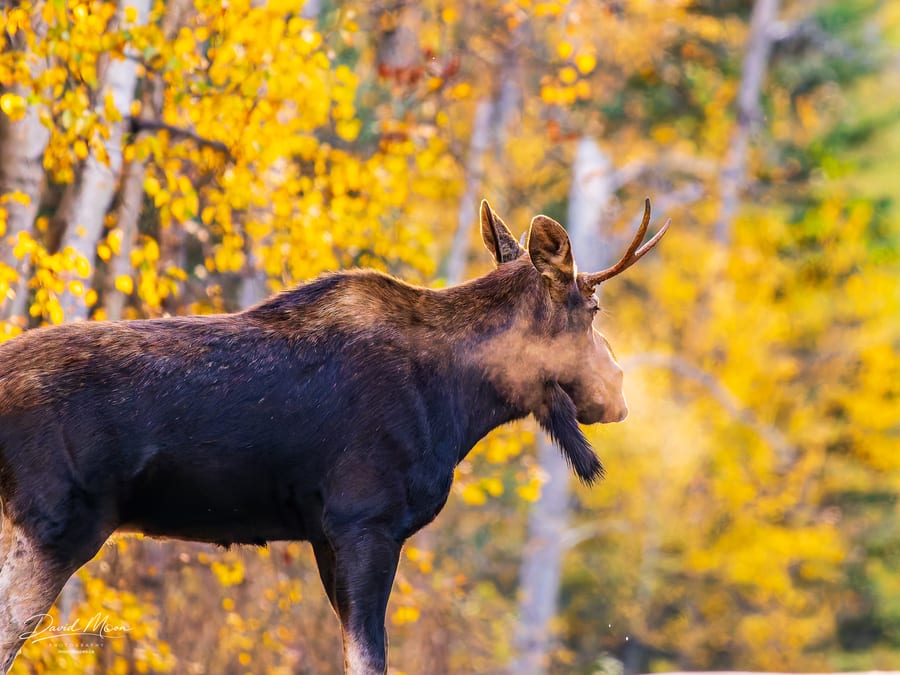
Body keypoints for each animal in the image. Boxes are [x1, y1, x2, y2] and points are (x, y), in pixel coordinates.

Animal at [0, 199, 668, 674]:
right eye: (593, 311)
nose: (618, 391)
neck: (461, 405)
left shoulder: (325, 534)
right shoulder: (364, 520)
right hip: (59, 526)